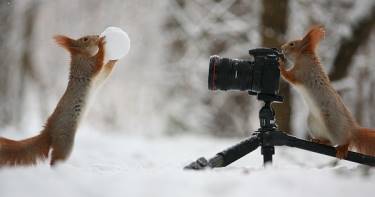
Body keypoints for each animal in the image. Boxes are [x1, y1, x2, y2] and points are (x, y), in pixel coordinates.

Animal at [0, 34, 117, 166]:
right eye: (85, 39)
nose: (97, 36)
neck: (82, 55)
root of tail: (49, 132)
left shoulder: (98, 79)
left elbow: (105, 71)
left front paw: (114, 60)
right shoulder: (87, 67)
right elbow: (99, 62)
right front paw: (102, 44)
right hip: (65, 141)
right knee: (56, 159)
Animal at [280, 25, 375, 159]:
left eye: (292, 44)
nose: (282, 48)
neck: (303, 57)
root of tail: (352, 129)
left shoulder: (301, 72)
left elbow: (288, 76)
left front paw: (280, 65)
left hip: (334, 126)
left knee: (344, 140)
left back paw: (343, 148)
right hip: (313, 124)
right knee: (329, 141)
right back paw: (320, 140)